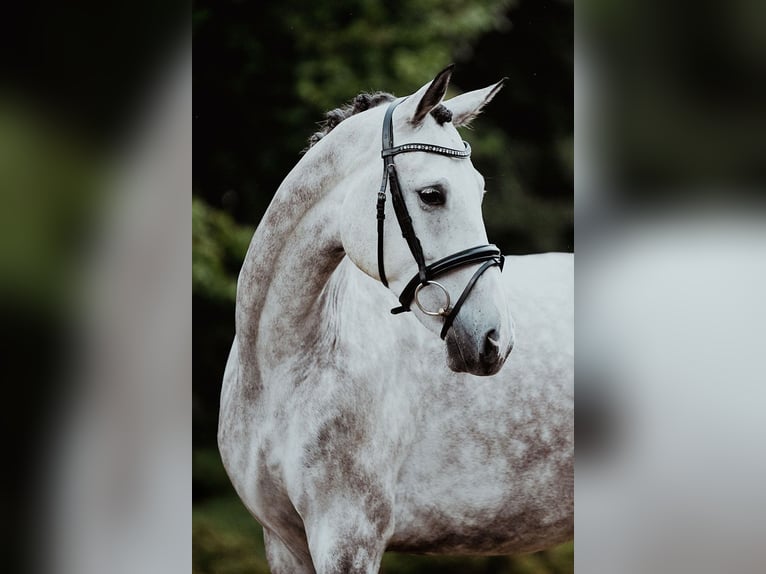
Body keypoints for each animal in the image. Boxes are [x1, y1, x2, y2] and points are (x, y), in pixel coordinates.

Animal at [218, 65, 573, 574]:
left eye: (480, 191)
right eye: (432, 195)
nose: (495, 341)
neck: (280, 368)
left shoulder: (348, 538)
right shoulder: (284, 542)